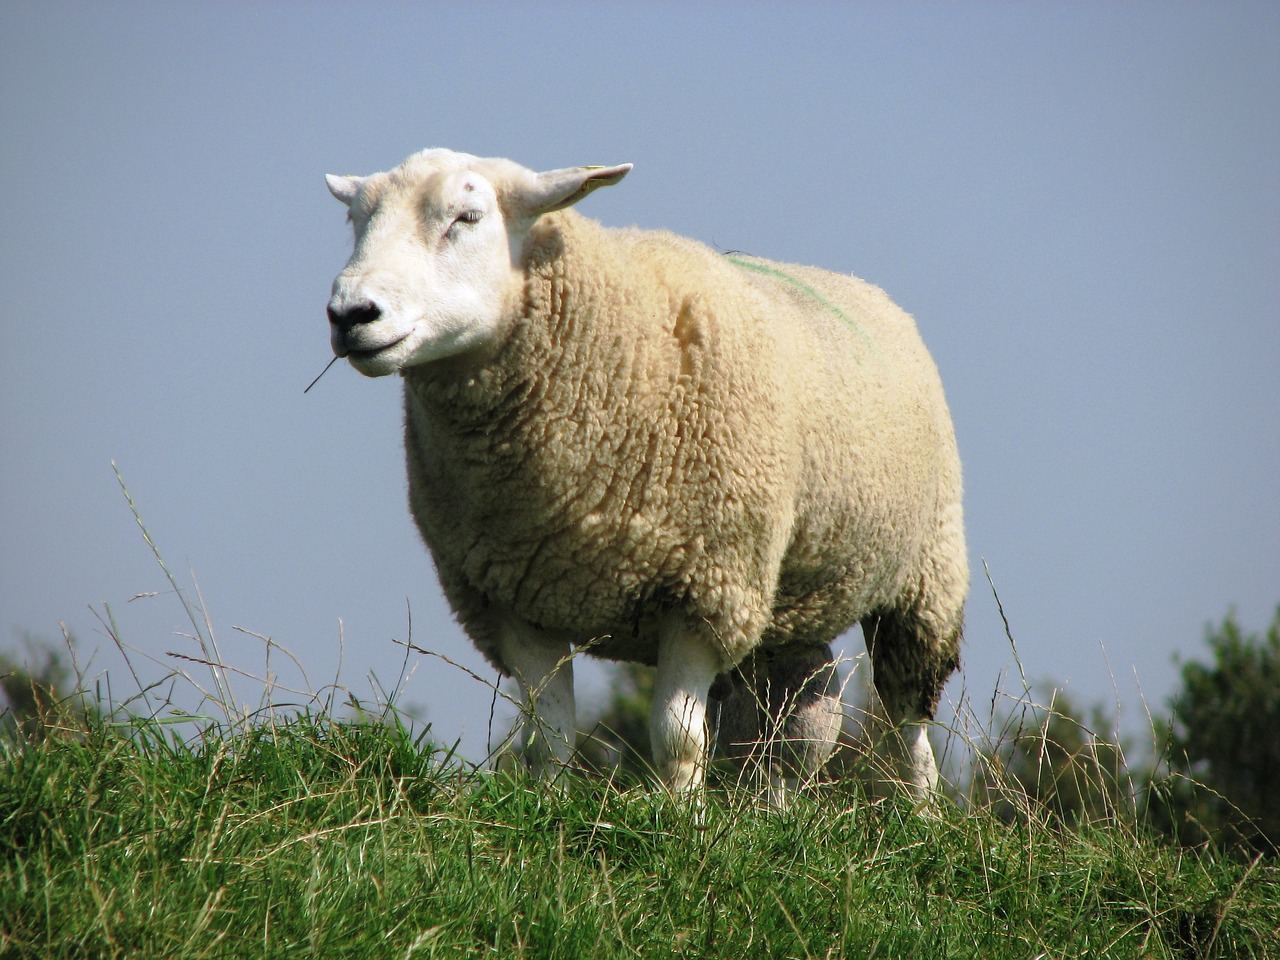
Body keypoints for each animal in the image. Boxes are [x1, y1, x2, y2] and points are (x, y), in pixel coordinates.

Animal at [325, 146, 962, 798]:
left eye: (468, 217)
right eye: (355, 219)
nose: (349, 314)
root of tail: (865, 287)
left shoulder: (707, 587)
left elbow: (678, 738)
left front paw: (682, 815)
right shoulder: (515, 598)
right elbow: (546, 738)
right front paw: (547, 806)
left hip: (926, 577)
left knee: (908, 721)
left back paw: (922, 810)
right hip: (788, 599)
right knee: (792, 725)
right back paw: (775, 810)